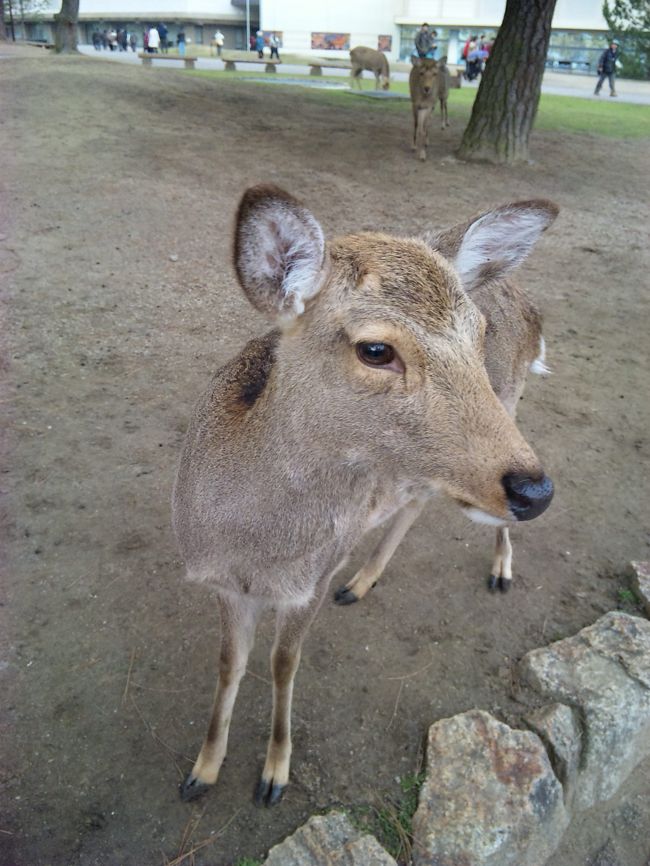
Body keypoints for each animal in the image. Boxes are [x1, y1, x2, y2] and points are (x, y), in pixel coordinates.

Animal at [173, 184, 556, 804]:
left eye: (478, 335)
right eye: (375, 350)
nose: (536, 491)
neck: (254, 548)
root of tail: (529, 305)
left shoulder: (312, 578)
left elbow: (283, 662)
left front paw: (274, 774)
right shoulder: (221, 585)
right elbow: (230, 664)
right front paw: (202, 771)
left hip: (512, 404)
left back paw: (499, 570)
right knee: (417, 501)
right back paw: (363, 581)